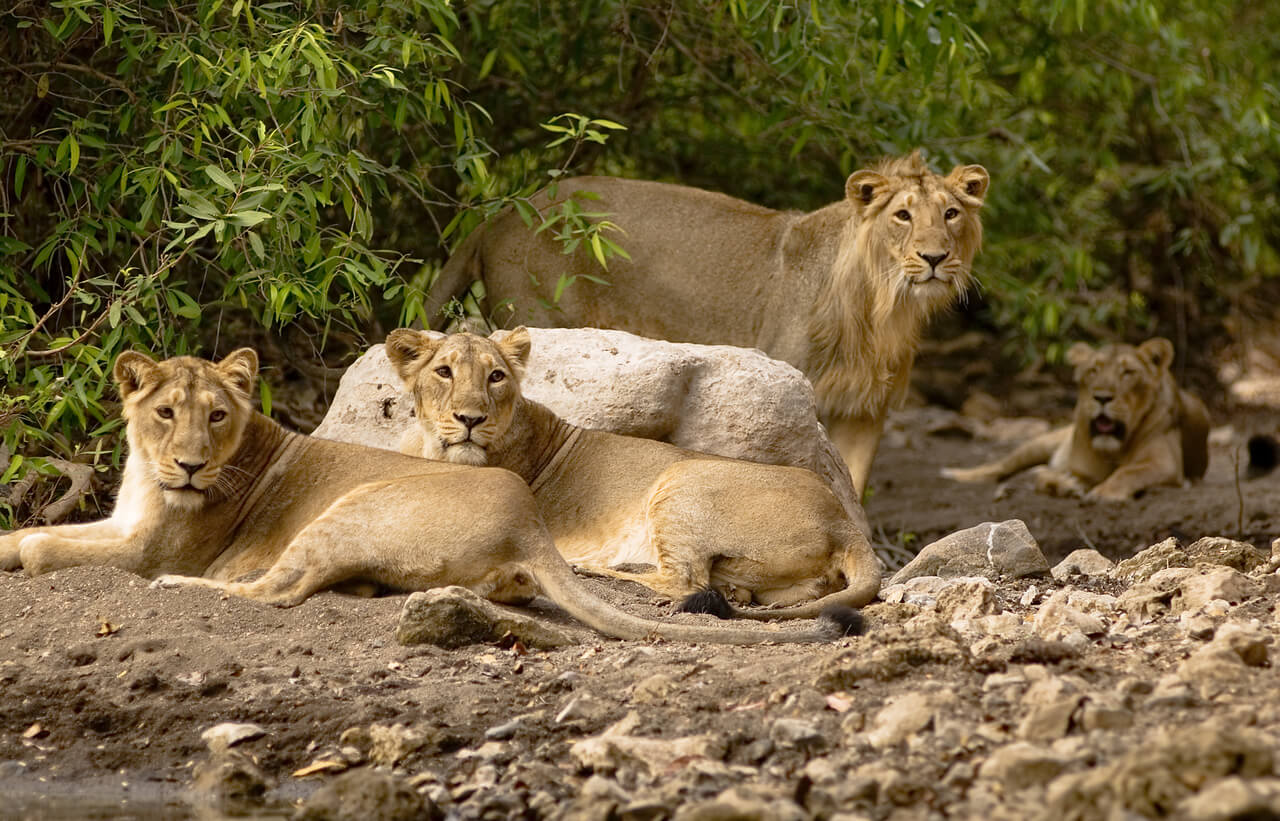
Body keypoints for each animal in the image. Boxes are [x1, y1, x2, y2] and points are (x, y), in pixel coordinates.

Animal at [0, 349, 854, 645]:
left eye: (215, 414)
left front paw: (28, 554)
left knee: (280, 590)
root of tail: (525, 520)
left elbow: (46, 543)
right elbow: (34, 533)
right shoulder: (121, 518)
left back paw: (189, 587)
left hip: (352, 508)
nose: (187, 465)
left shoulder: (145, 544)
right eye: (165, 412)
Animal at [386, 327, 882, 621]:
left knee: (684, 580)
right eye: (444, 372)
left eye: (496, 377)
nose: (471, 420)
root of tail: (843, 521)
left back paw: (593, 565)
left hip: (681, 477)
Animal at [425, 151, 990, 498]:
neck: (882, 308)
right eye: (902, 215)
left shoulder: (866, 409)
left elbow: (855, 484)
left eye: (952, 213)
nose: (935, 258)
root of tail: (498, 215)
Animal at [941, 338, 1210, 501]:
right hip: (1039, 444)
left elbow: (1129, 472)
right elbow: (1046, 478)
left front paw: (1104, 492)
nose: (1102, 397)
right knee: (1001, 467)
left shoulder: (1165, 464)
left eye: (1128, 372)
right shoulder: (1081, 466)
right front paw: (1069, 485)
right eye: (1093, 370)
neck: (1114, 448)